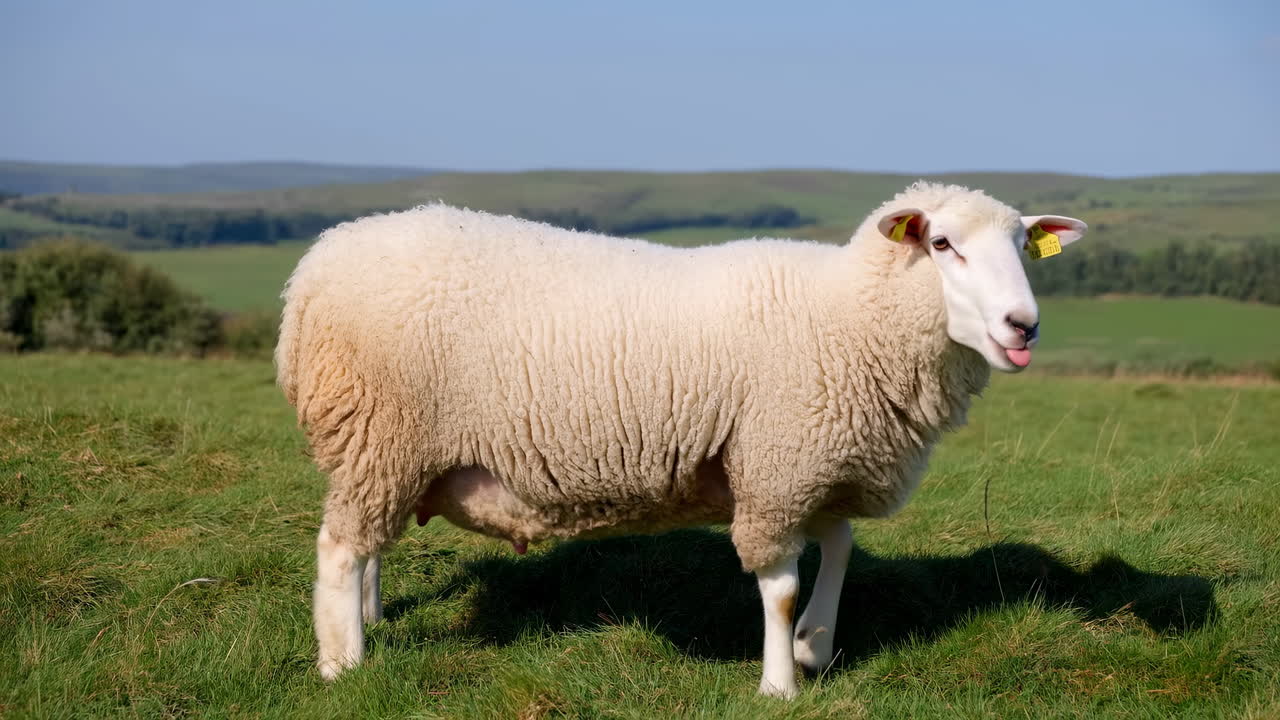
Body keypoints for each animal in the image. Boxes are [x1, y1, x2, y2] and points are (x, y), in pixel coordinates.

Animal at [275, 181, 1087, 698]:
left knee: (367, 541)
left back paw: (369, 620)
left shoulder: (814, 465)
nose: (1023, 327)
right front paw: (778, 684)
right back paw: (344, 664)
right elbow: (781, 587)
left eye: (1025, 247)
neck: (848, 316)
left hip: (391, 451)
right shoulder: (776, 466)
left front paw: (816, 646)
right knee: (340, 549)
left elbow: (840, 548)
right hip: (380, 427)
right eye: (943, 244)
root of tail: (313, 269)